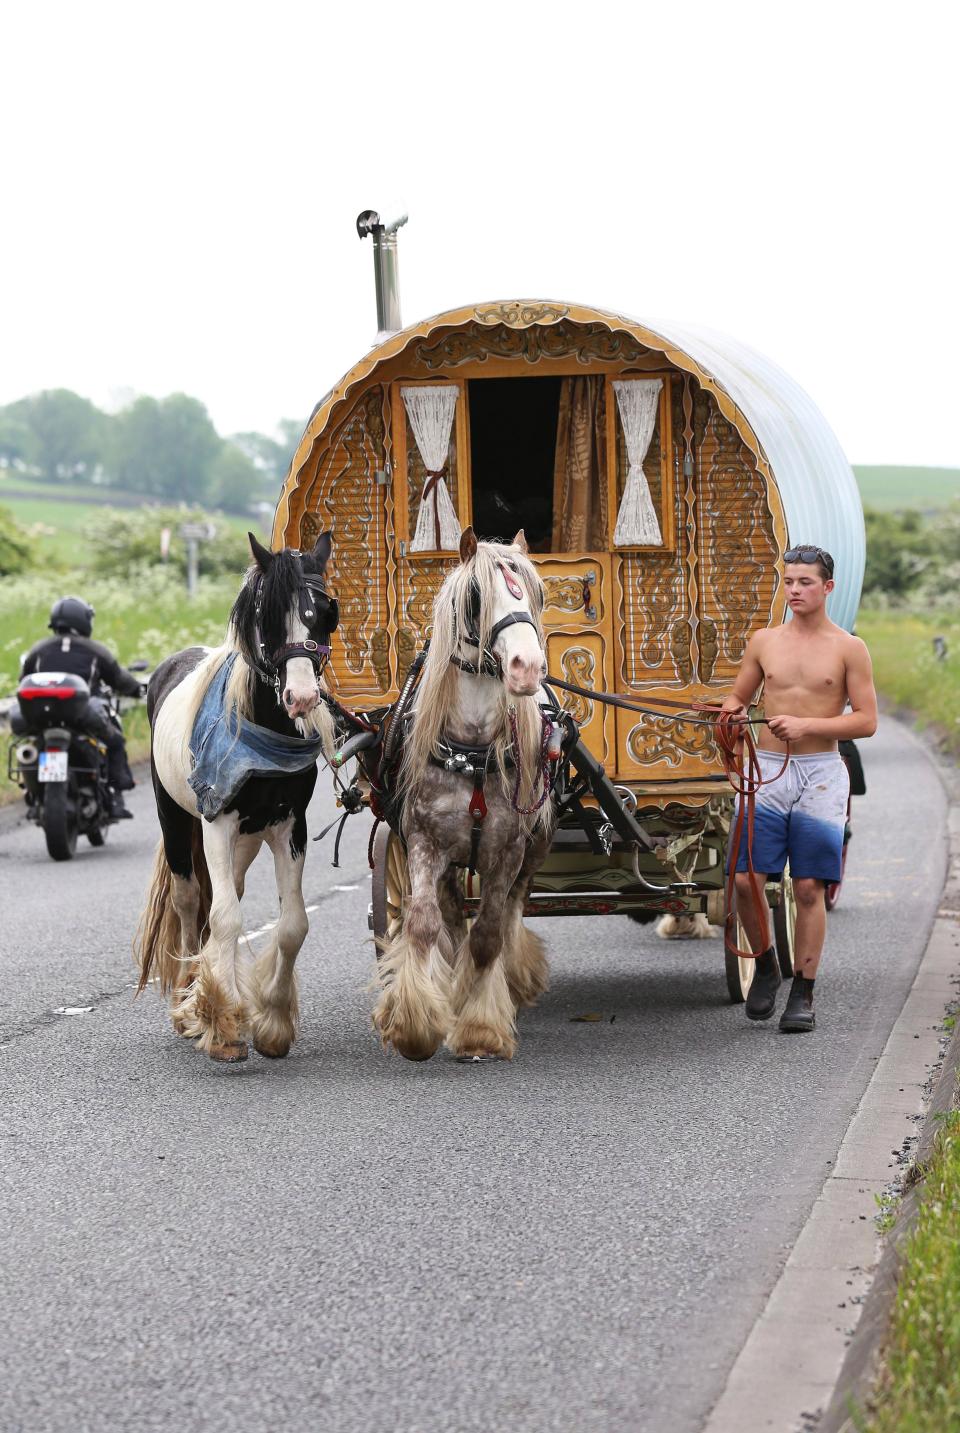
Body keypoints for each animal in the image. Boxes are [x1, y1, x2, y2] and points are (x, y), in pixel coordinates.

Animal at [135, 533, 338, 1060]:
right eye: (267, 613)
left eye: (325, 613)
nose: (302, 698)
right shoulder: (218, 823)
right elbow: (225, 917)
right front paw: (221, 1022)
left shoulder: (290, 826)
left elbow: (293, 925)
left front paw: (272, 1024)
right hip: (176, 818)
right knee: (191, 901)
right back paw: (187, 999)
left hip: (246, 839)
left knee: (229, 892)